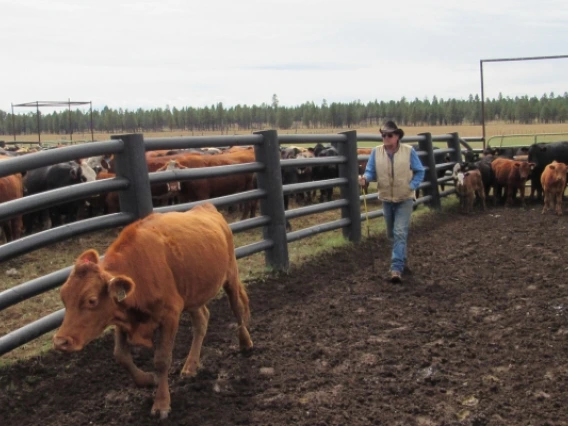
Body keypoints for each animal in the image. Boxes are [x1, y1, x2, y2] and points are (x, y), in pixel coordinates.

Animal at [53, 204, 253, 420]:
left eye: (91, 300)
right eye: (63, 297)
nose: (61, 342)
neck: (139, 270)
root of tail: (206, 207)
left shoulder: (170, 315)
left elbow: (162, 360)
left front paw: (161, 403)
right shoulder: (122, 317)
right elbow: (121, 356)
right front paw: (148, 379)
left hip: (230, 276)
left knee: (237, 308)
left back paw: (245, 343)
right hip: (192, 295)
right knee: (202, 320)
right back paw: (191, 365)